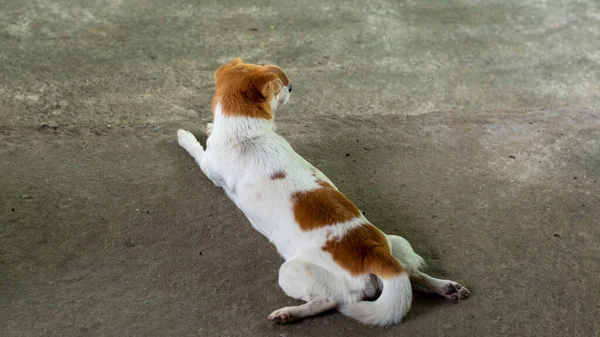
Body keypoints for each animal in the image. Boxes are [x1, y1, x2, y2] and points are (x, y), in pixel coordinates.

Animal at [177, 58, 468, 326]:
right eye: (281, 88)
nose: (292, 87)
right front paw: (210, 127)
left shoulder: (209, 167)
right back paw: (445, 287)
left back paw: (289, 314)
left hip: (292, 272)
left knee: (331, 301)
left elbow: (197, 150)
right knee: (412, 274)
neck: (249, 133)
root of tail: (379, 257)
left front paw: (185, 137)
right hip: (397, 243)